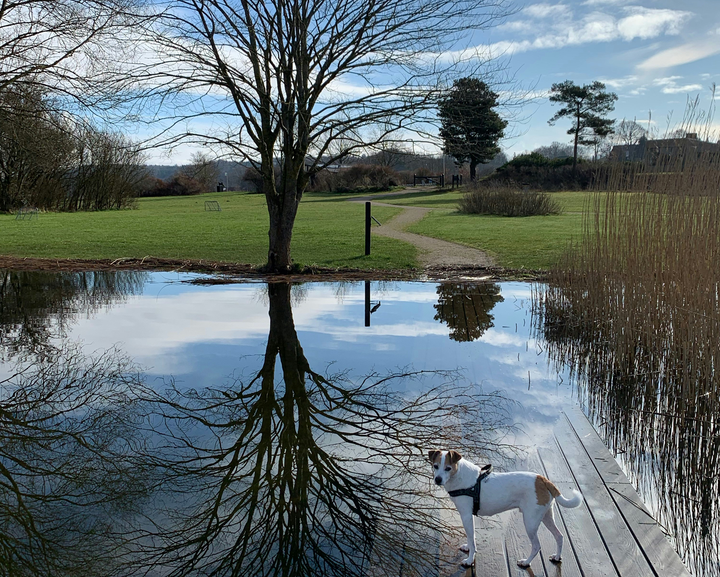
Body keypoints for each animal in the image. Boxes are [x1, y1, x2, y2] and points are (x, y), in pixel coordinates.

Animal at [430, 448, 584, 564]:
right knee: (559, 536)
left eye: (448, 468)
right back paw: (557, 557)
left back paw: (526, 562)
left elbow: (471, 538)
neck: (460, 476)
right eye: (435, 466)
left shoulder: (466, 516)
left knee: (536, 546)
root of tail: (543, 480)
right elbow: (471, 537)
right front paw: (468, 548)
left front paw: (469, 560)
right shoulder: (469, 518)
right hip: (546, 516)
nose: (437, 479)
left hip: (530, 522)